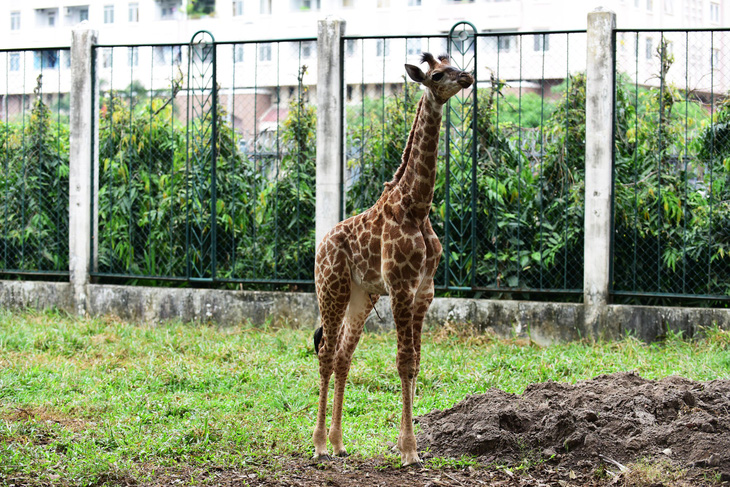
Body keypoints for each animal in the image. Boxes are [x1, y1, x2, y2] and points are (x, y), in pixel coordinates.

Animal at [312, 51, 472, 468]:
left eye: (455, 63)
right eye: (437, 75)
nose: (467, 77)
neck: (417, 207)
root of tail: (322, 243)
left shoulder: (424, 292)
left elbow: (416, 362)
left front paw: (409, 443)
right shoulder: (401, 287)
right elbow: (403, 361)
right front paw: (409, 450)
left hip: (361, 296)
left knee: (343, 356)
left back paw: (338, 443)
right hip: (331, 288)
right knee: (326, 352)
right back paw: (319, 446)